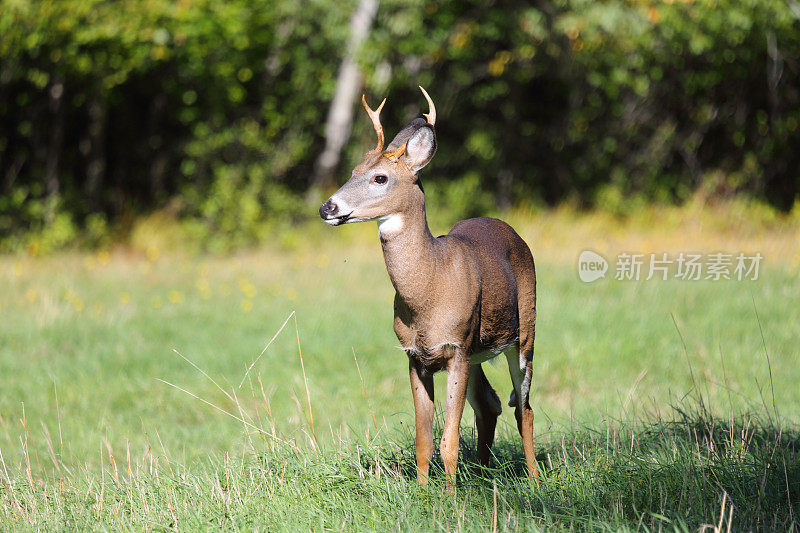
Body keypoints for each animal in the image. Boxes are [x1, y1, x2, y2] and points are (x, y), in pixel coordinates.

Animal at [318, 85, 536, 488]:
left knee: (523, 406)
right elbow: (424, 440)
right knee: (491, 403)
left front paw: (450, 497)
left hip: (524, 332)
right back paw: (483, 472)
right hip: (479, 351)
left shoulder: (457, 348)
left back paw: (534, 480)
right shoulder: (415, 356)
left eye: (380, 178)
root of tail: (506, 226)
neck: (429, 291)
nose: (327, 208)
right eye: (353, 171)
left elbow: (448, 440)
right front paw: (422, 491)